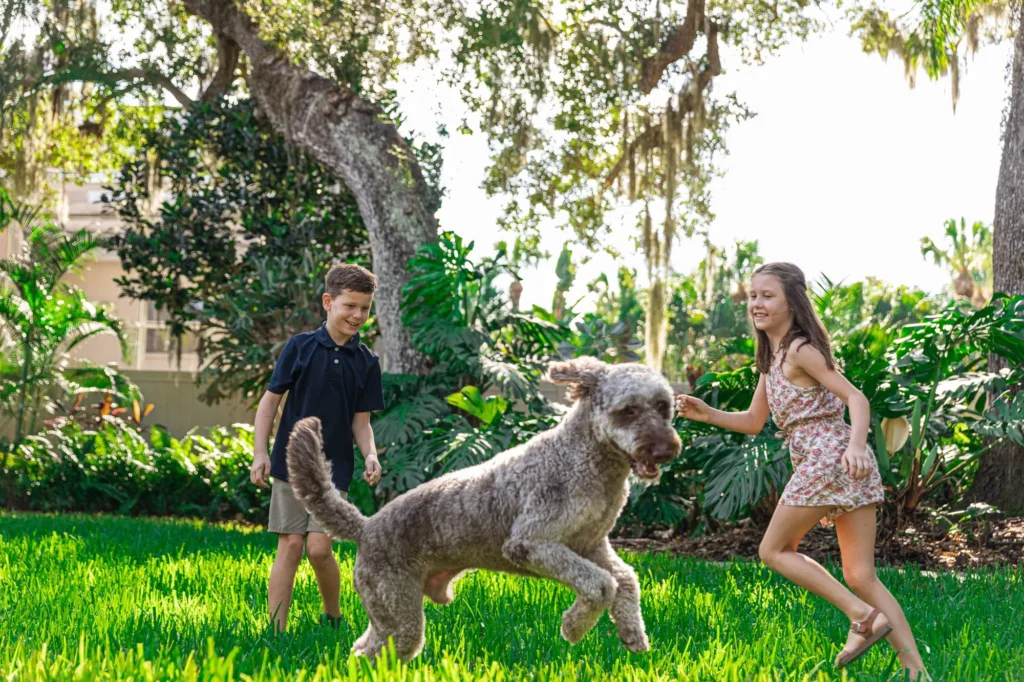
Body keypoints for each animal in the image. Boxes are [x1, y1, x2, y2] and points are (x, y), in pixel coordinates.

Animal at [286, 356, 679, 659]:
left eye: (664, 407)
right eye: (628, 410)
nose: (665, 450)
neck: (584, 458)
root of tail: (367, 527)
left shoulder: (591, 545)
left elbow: (624, 579)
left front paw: (632, 635)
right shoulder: (531, 543)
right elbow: (601, 584)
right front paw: (573, 628)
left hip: (386, 614)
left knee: (362, 647)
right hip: (399, 613)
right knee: (372, 653)